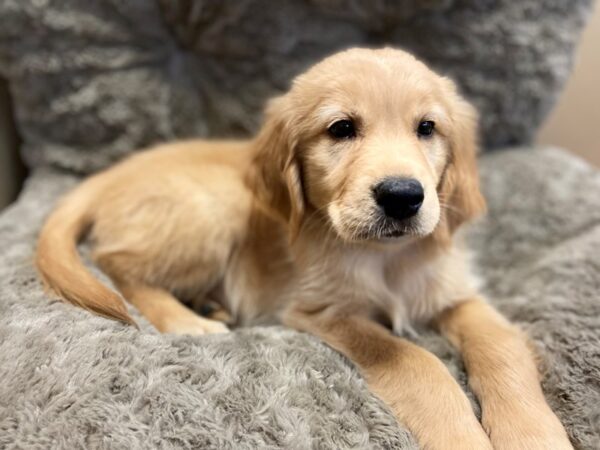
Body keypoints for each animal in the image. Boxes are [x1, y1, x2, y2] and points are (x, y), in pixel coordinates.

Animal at [36, 48, 572, 450]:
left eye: (427, 128)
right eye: (341, 129)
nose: (403, 196)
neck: (384, 258)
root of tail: (109, 174)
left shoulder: (454, 293)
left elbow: (503, 346)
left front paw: (534, 435)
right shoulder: (321, 310)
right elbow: (415, 360)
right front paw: (460, 435)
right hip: (219, 206)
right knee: (116, 263)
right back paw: (188, 319)